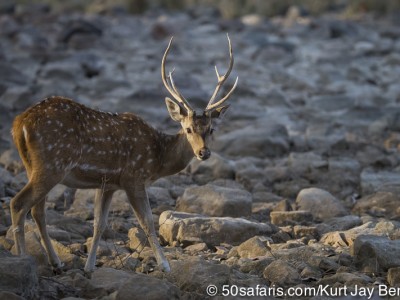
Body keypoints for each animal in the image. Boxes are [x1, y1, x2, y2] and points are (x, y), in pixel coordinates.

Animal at [10, 34, 238, 272]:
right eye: (188, 129)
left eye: (211, 129)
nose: (204, 152)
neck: (158, 158)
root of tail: (19, 124)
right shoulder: (133, 177)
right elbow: (147, 221)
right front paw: (165, 265)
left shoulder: (107, 184)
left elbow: (99, 223)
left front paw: (89, 267)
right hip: (53, 163)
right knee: (18, 203)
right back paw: (22, 259)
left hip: (34, 166)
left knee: (37, 210)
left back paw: (56, 262)